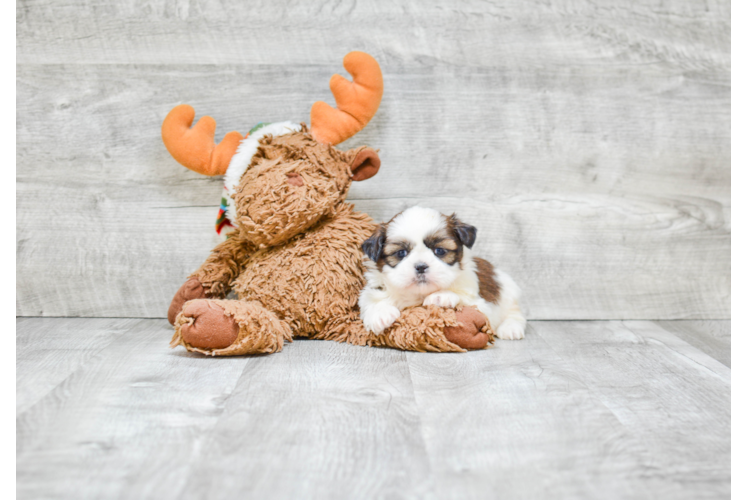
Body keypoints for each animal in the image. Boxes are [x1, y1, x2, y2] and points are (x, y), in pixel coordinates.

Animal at [358, 206, 524, 340]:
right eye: (401, 253)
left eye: (440, 251)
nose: (421, 266)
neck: (419, 295)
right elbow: (369, 301)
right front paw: (380, 313)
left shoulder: (481, 305)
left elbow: (465, 300)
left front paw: (441, 296)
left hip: (510, 293)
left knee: (515, 313)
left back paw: (511, 328)